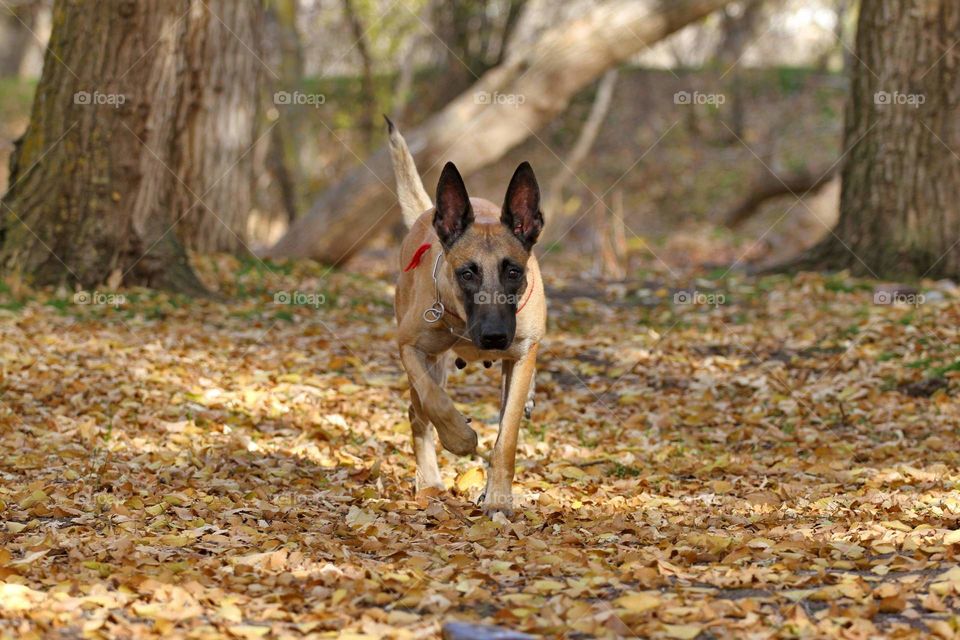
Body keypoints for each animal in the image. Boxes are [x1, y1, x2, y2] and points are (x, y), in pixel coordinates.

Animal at [386, 117, 544, 516]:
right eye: (467, 274)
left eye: (513, 272)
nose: (494, 338)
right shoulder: (410, 347)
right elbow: (435, 401)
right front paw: (459, 437)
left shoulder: (521, 356)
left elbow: (506, 437)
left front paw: (499, 497)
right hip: (429, 361)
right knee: (418, 414)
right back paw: (429, 482)